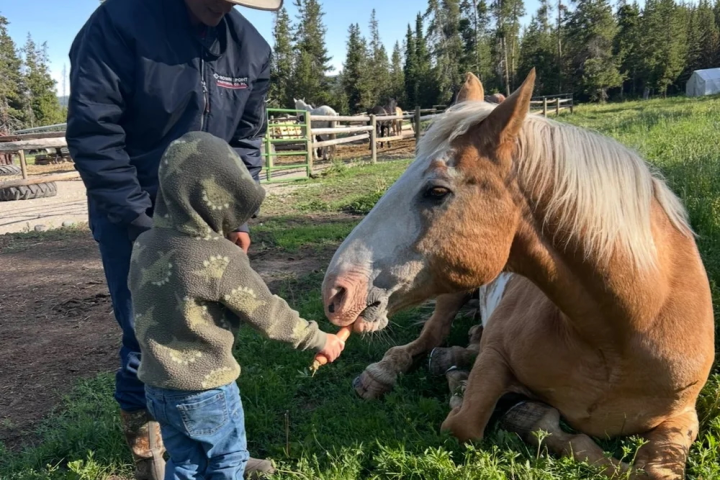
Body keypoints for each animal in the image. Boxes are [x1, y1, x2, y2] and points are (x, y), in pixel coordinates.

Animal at [321, 70, 715, 479]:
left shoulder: (682, 415)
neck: (624, 333)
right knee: (430, 336)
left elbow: (651, 471)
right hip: (452, 294)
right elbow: (466, 424)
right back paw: (389, 372)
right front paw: (489, 400)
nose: (336, 292)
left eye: (437, 191)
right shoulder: (495, 358)